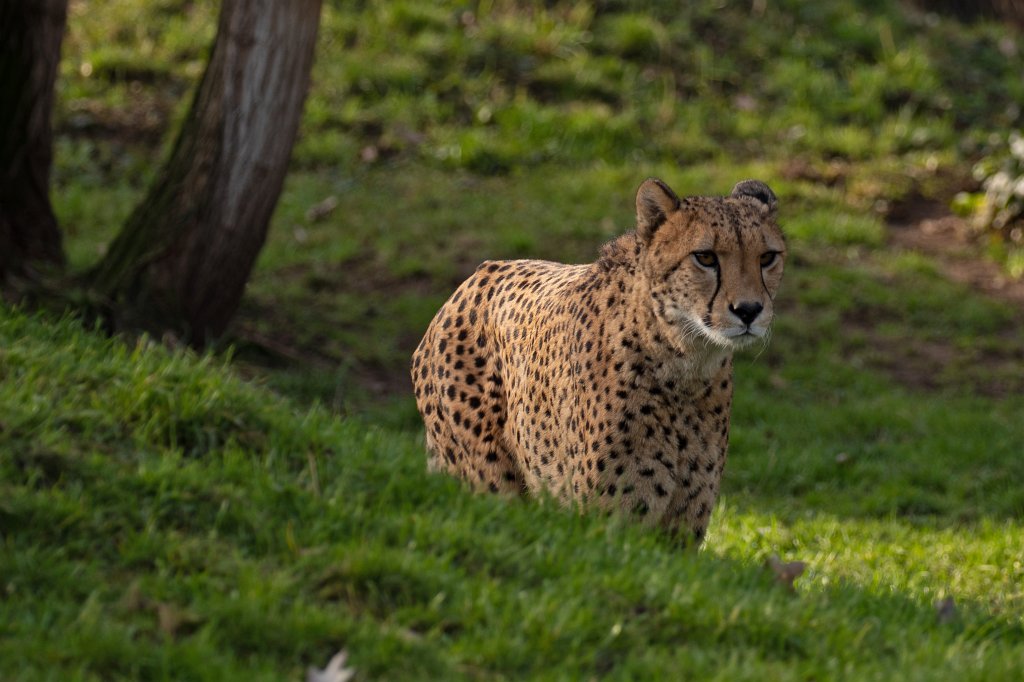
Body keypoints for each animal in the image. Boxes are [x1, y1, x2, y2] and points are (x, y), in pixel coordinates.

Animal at [411, 177, 786, 544]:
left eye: (767, 257)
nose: (749, 310)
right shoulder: (607, 523)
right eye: (705, 257)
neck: (684, 364)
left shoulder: (682, 527)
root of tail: (477, 276)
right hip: (488, 483)